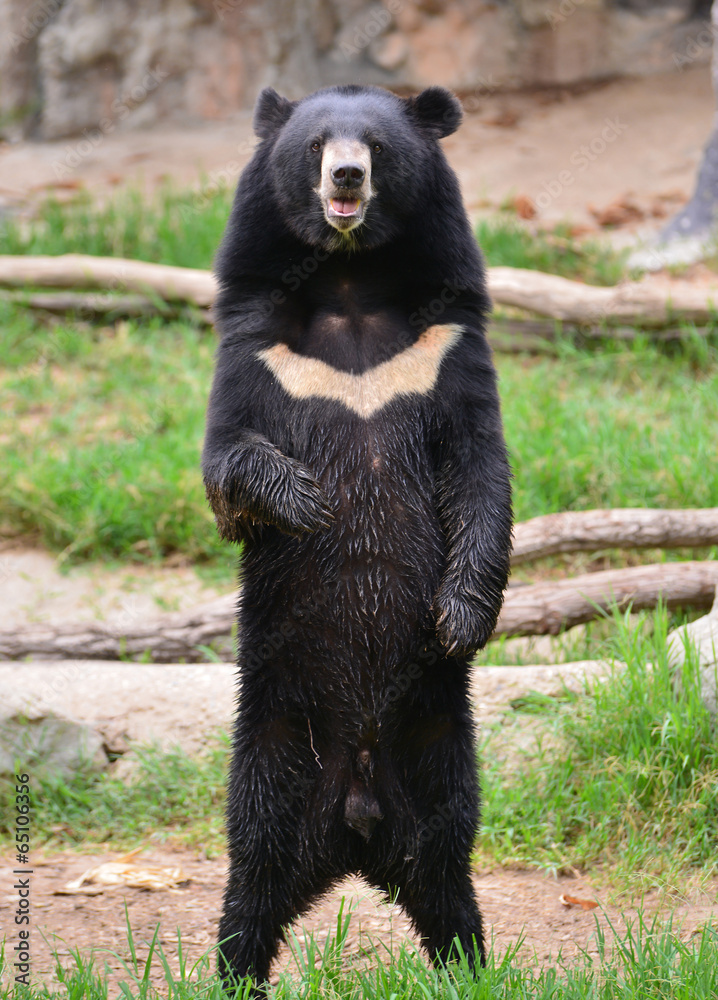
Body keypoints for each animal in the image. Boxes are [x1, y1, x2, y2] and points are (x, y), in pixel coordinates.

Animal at [202, 83, 513, 987]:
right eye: (315, 147)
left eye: (374, 144)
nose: (345, 177)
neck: (347, 279)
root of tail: (356, 826)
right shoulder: (257, 348)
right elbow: (224, 464)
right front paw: (308, 501)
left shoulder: (447, 345)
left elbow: (481, 473)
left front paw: (459, 619)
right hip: (274, 736)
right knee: (255, 860)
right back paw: (234, 970)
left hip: (440, 744)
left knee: (448, 860)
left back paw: (469, 963)